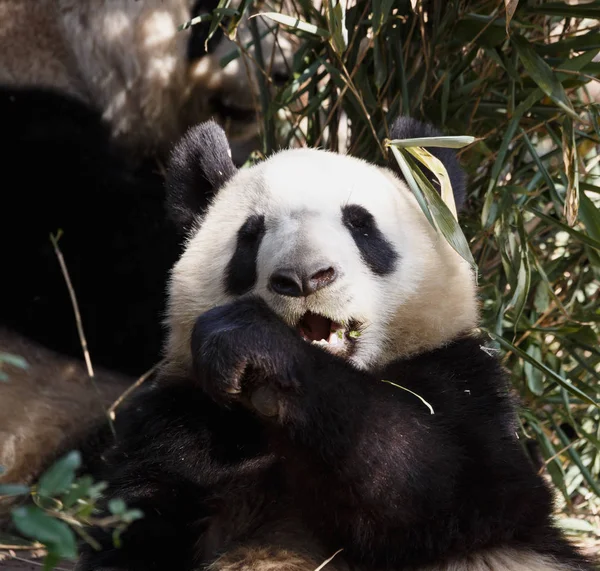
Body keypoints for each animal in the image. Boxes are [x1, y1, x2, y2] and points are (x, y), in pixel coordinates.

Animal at [71, 119, 596, 571]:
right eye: (251, 234)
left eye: (361, 225)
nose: (304, 277)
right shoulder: (182, 419)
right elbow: (139, 520)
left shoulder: (464, 382)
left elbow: (440, 478)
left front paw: (258, 348)